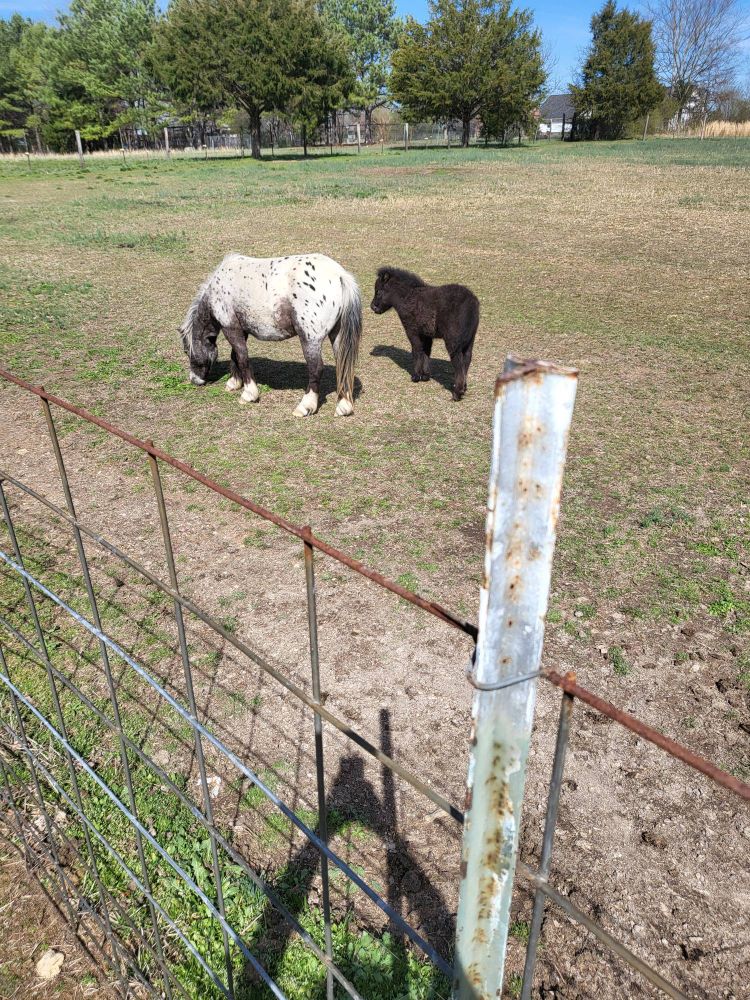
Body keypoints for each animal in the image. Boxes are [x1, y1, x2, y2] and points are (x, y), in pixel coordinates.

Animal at [179, 253, 362, 416]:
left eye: (187, 351)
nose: (194, 380)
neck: (217, 288)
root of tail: (340, 275)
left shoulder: (230, 327)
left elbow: (242, 358)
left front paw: (249, 394)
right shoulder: (241, 329)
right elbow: (235, 355)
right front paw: (234, 383)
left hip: (310, 340)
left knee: (316, 368)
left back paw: (305, 406)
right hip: (337, 336)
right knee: (342, 365)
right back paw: (343, 406)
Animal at [370, 267, 479, 401]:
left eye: (379, 291)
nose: (373, 307)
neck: (407, 297)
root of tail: (471, 304)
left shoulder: (412, 331)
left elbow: (416, 351)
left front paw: (416, 376)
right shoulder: (426, 334)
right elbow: (426, 351)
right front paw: (425, 376)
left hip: (453, 342)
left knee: (458, 363)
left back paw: (457, 393)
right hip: (470, 340)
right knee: (466, 360)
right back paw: (464, 387)